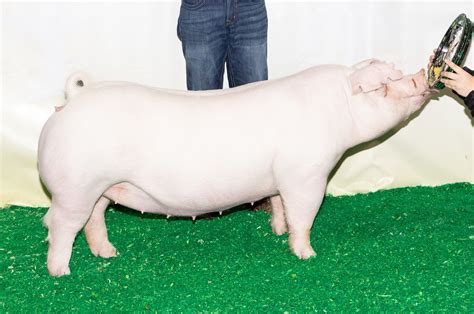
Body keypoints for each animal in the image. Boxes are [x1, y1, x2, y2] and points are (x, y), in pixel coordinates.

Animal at [37, 58, 432, 274]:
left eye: (396, 73)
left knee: (93, 220)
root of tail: (74, 98)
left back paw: (109, 253)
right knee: (57, 225)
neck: (337, 108)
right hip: (74, 187)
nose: (421, 76)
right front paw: (307, 254)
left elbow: (279, 205)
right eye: (385, 86)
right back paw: (61, 272)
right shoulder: (306, 175)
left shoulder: (279, 179)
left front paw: (276, 231)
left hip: (100, 188)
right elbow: (303, 215)